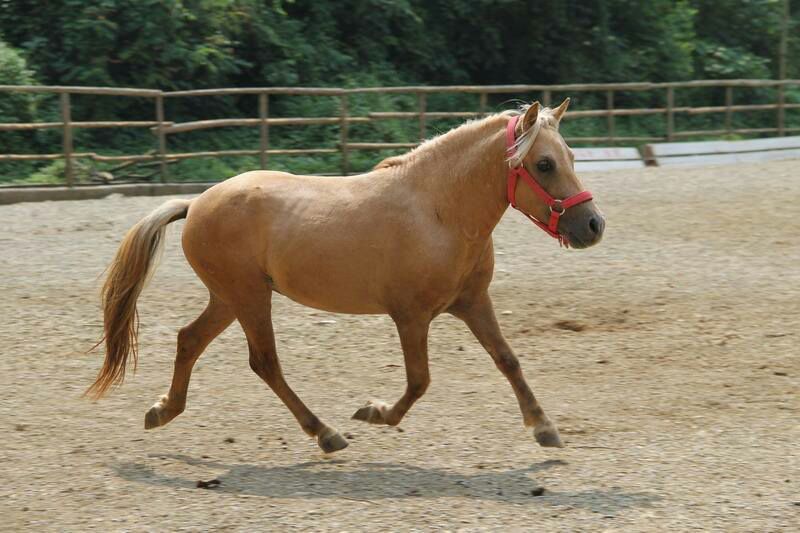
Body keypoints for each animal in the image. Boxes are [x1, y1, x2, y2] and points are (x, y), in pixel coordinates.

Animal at [87, 98, 605, 454]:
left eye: (572, 155)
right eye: (543, 164)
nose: (593, 225)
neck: (438, 211)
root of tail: (196, 203)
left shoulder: (473, 302)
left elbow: (508, 360)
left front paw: (544, 428)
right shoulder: (411, 316)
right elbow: (419, 381)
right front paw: (375, 413)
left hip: (229, 298)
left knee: (189, 340)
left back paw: (163, 411)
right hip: (248, 297)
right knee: (264, 363)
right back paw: (326, 433)